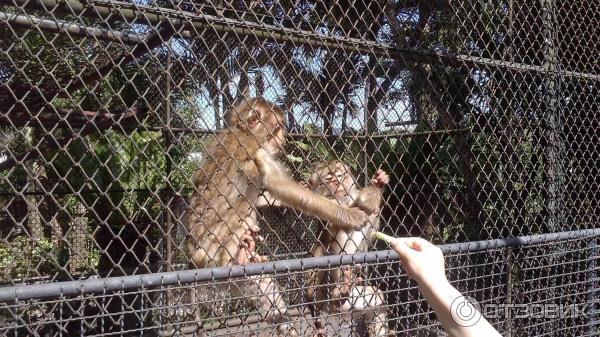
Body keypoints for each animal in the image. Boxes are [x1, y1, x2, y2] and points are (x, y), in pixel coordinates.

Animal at [185, 96, 370, 334]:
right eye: (278, 127)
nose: (283, 137)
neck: (243, 132)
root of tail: (192, 261)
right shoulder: (256, 150)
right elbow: (281, 185)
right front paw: (350, 215)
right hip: (211, 255)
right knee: (240, 213)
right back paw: (237, 254)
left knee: (267, 295)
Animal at [304, 160, 394, 336]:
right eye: (329, 178)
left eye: (340, 175)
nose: (338, 183)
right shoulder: (327, 204)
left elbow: (369, 233)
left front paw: (378, 183)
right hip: (324, 296)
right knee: (320, 255)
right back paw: (335, 295)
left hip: (357, 300)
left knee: (378, 299)